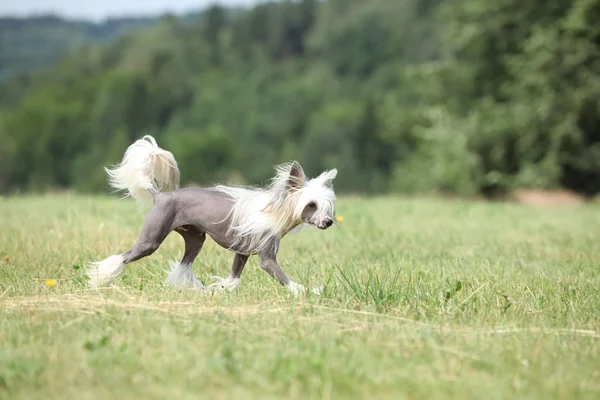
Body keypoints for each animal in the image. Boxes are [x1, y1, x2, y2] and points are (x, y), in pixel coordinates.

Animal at [86, 136, 338, 296]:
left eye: (327, 207)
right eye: (311, 205)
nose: (328, 222)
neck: (275, 211)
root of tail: (160, 195)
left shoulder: (242, 253)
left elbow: (233, 277)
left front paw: (220, 290)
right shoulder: (266, 258)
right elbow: (284, 278)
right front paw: (308, 291)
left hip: (196, 238)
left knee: (184, 266)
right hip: (151, 240)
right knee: (123, 258)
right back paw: (99, 278)